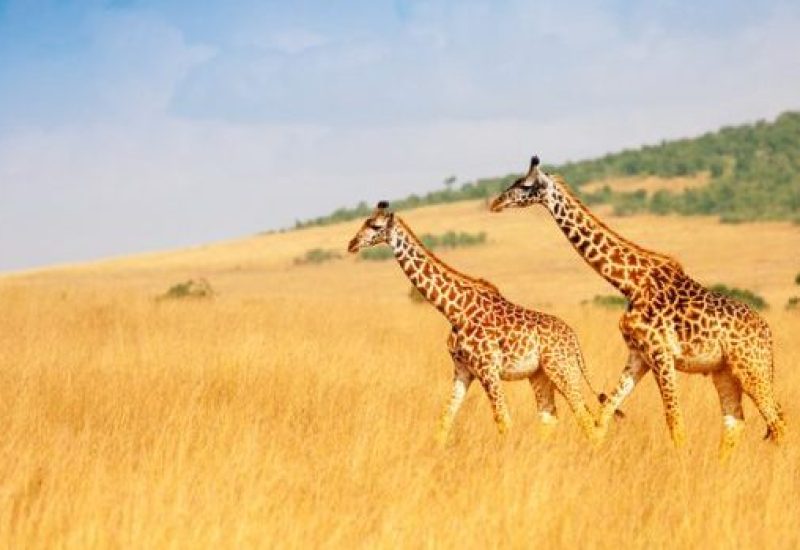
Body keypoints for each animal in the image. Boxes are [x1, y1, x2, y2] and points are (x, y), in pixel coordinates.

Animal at [347, 201, 608, 445]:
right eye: (365, 221)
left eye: (376, 226)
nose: (351, 244)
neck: (453, 310)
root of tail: (574, 340)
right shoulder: (463, 370)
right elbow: (445, 419)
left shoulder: (487, 369)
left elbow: (503, 421)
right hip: (540, 375)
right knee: (550, 418)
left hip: (562, 369)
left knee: (586, 419)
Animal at [490, 156, 786, 460]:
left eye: (525, 185)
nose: (496, 203)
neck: (630, 283)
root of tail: (768, 335)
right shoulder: (638, 354)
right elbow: (605, 411)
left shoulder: (660, 353)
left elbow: (674, 421)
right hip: (724, 371)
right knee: (736, 421)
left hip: (751, 367)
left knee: (777, 420)